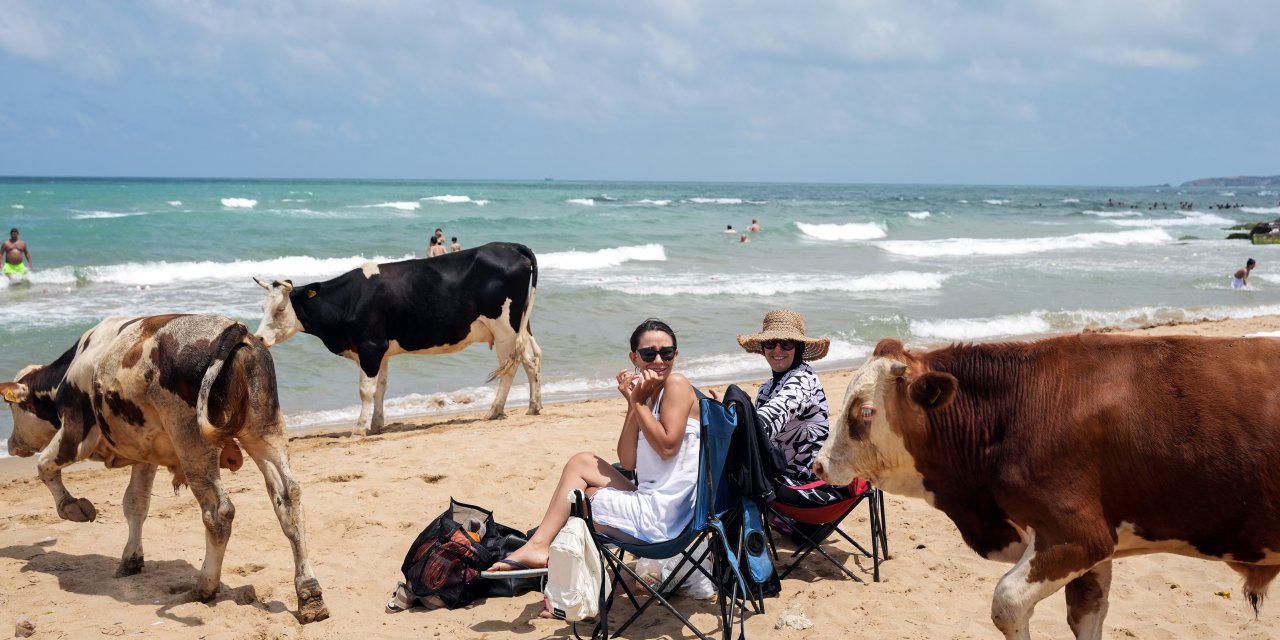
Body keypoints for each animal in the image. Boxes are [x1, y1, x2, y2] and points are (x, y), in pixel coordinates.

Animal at [1, 314, 330, 624]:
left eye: (13, 408)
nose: (11, 444)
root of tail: (235, 330)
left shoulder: (75, 433)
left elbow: (44, 465)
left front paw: (72, 507)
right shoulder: (145, 456)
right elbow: (135, 504)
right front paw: (131, 559)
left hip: (192, 441)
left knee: (219, 512)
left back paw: (204, 587)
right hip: (264, 431)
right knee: (289, 499)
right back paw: (309, 595)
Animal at [254, 240, 540, 435]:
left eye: (280, 309)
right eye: (263, 307)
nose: (258, 338)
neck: (349, 299)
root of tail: (509, 246)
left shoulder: (370, 347)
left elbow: (366, 390)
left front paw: (359, 429)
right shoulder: (380, 351)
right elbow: (381, 388)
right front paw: (376, 425)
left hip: (504, 329)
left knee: (510, 367)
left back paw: (495, 410)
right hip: (521, 325)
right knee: (531, 358)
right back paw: (534, 406)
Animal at [814, 335, 1280, 640]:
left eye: (865, 411)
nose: (818, 463)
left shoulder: (1078, 534)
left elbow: (1007, 605)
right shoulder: (1099, 545)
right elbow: (1085, 613)